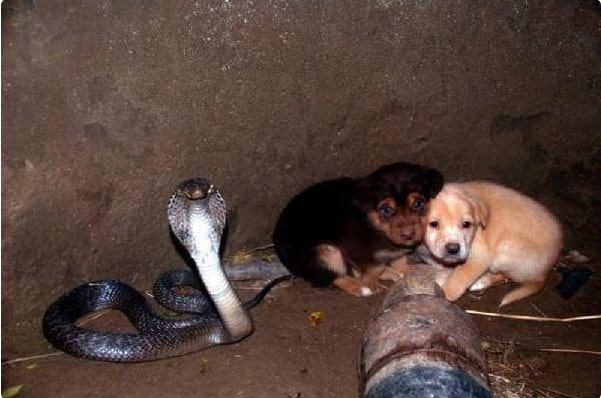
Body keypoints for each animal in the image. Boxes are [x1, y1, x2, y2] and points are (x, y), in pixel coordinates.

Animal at [272, 162, 440, 296]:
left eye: (418, 203)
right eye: (386, 210)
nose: (408, 235)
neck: (373, 226)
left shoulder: (397, 252)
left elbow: (400, 261)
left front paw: (406, 274)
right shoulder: (354, 249)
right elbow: (374, 268)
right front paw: (371, 284)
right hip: (327, 252)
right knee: (335, 276)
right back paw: (360, 288)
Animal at [418, 181, 564, 308]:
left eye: (466, 224)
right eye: (434, 224)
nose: (453, 249)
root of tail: (544, 273)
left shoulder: (480, 256)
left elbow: (460, 277)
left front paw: (445, 293)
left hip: (503, 254)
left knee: (505, 275)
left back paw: (480, 282)